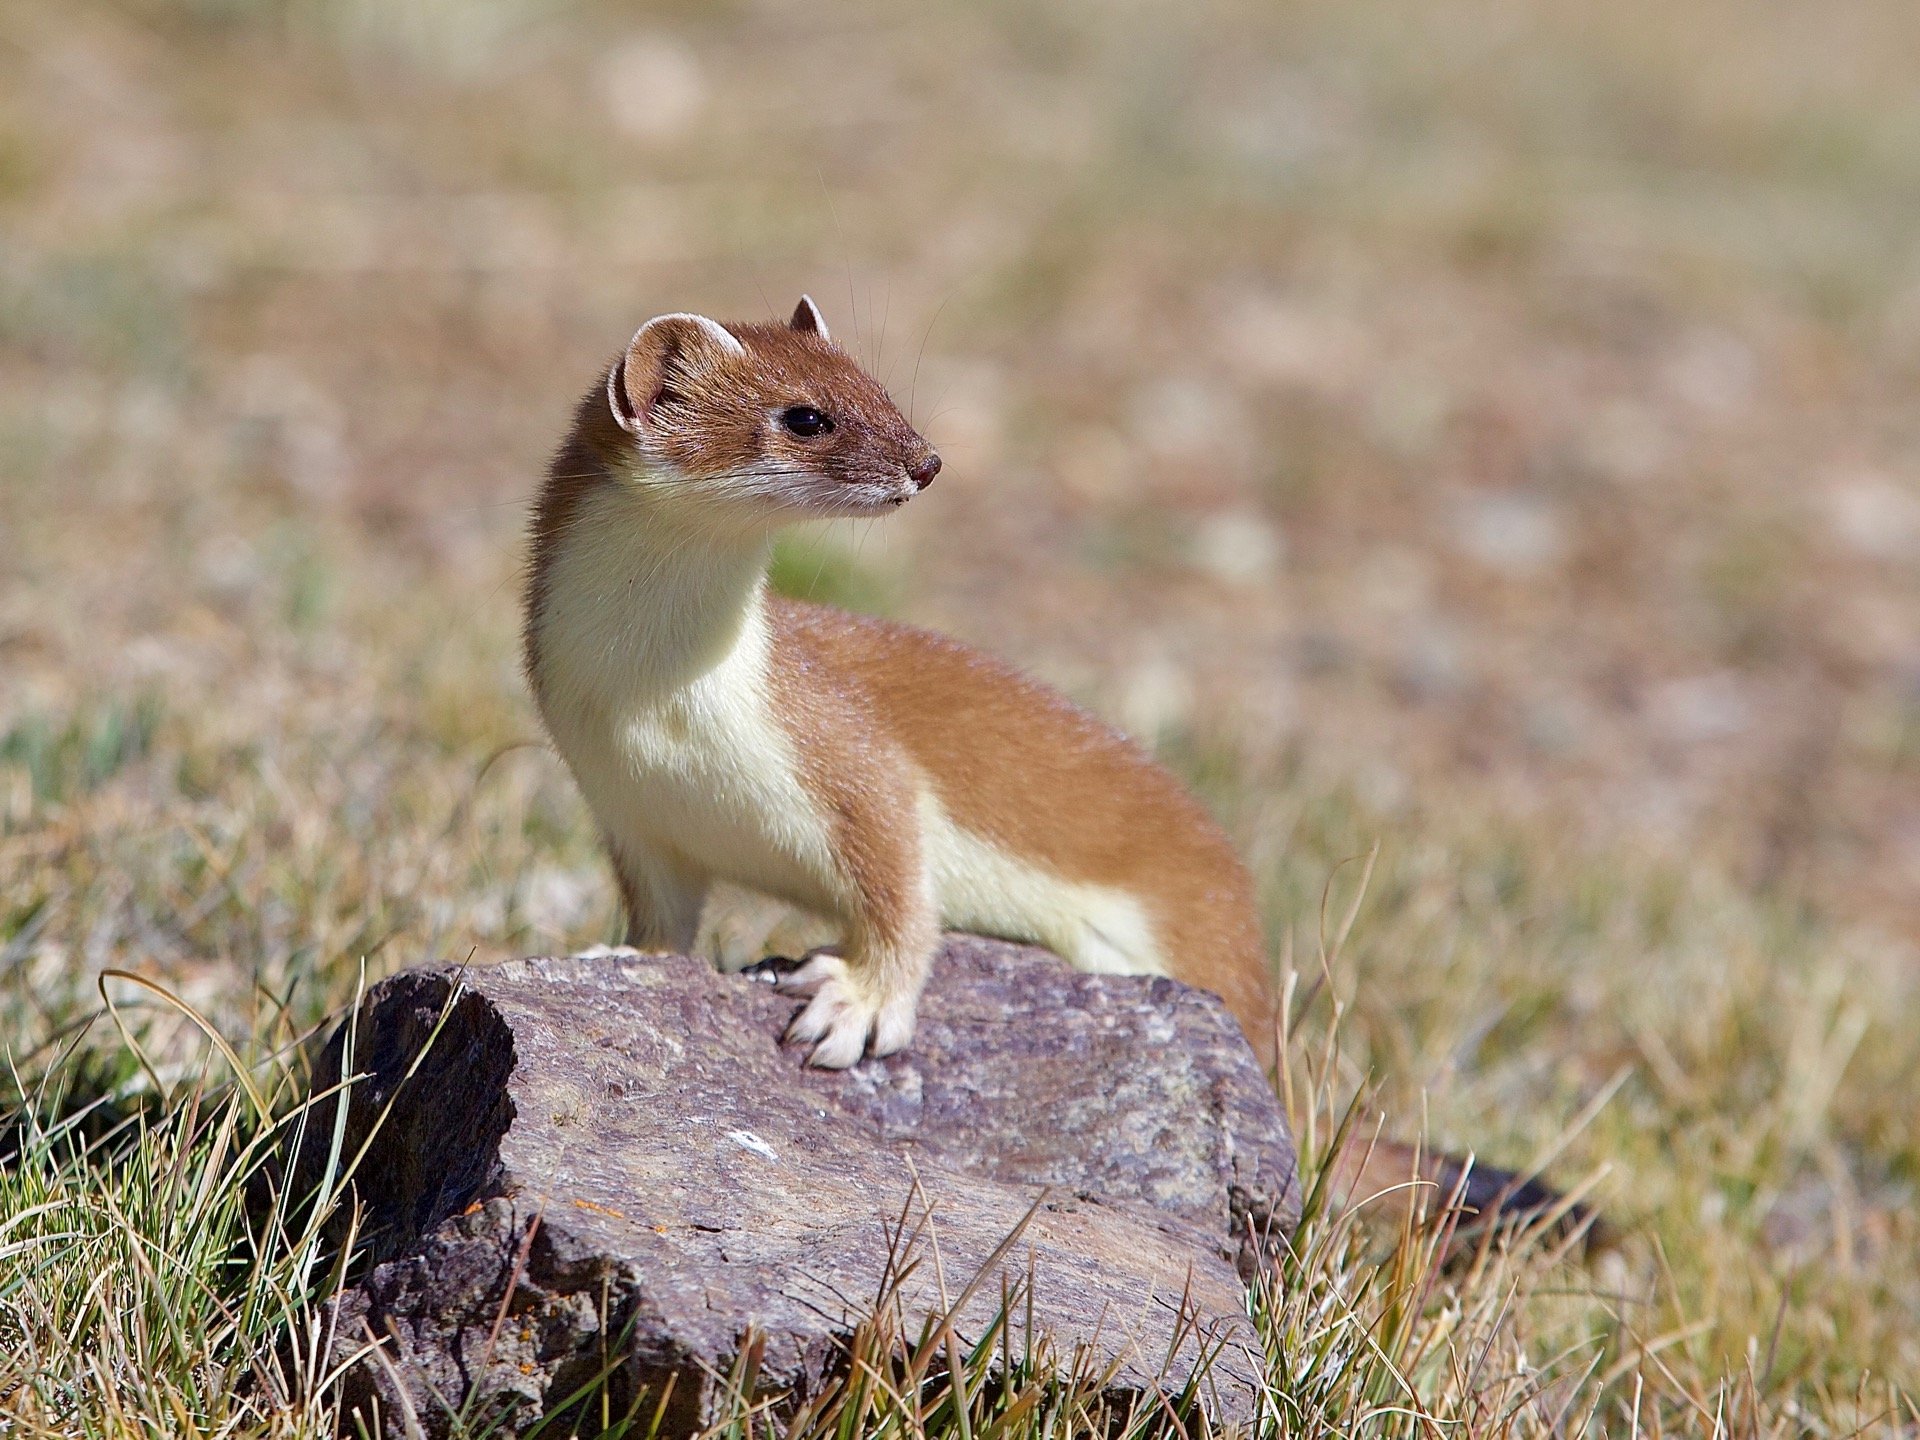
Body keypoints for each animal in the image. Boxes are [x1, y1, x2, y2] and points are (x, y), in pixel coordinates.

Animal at [526, 299, 1274, 1075]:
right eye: (806, 416)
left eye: (878, 388)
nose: (928, 461)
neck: (656, 707)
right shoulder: (625, 807)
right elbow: (663, 916)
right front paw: (615, 956)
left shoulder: (853, 760)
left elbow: (903, 894)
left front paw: (858, 1003)